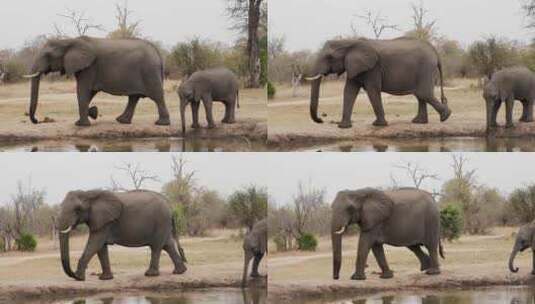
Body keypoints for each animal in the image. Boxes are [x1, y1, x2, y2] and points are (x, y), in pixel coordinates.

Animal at [24, 36, 171, 126]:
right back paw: (122, 121)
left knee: (157, 96)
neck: (69, 40)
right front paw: (92, 113)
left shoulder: (89, 67)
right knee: (134, 97)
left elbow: (83, 91)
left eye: (47, 55)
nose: (37, 121)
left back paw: (161, 124)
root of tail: (158, 53)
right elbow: (88, 93)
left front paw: (81, 124)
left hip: (149, 71)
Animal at [57, 190, 187, 280]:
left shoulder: (106, 222)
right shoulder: (101, 221)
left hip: (161, 221)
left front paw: (79, 278)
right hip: (163, 223)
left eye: (78, 209)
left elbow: (95, 244)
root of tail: (170, 206)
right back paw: (180, 271)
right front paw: (105, 279)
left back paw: (150, 274)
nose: (72, 274)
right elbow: (101, 248)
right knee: (168, 245)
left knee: (156, 247)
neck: (89, 193)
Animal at [306, 37, 452, 127]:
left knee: (423, 93)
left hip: (425, 68)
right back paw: (419, 122)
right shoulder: (355, 66)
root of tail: (435, 52)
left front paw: (378, 125)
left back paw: (445, 117)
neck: (350, 42)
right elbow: (349, 91)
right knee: (420, 95)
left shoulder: (373, 68)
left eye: (329, 57)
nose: (321, 119)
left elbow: (372, 90)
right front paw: (343, 127)